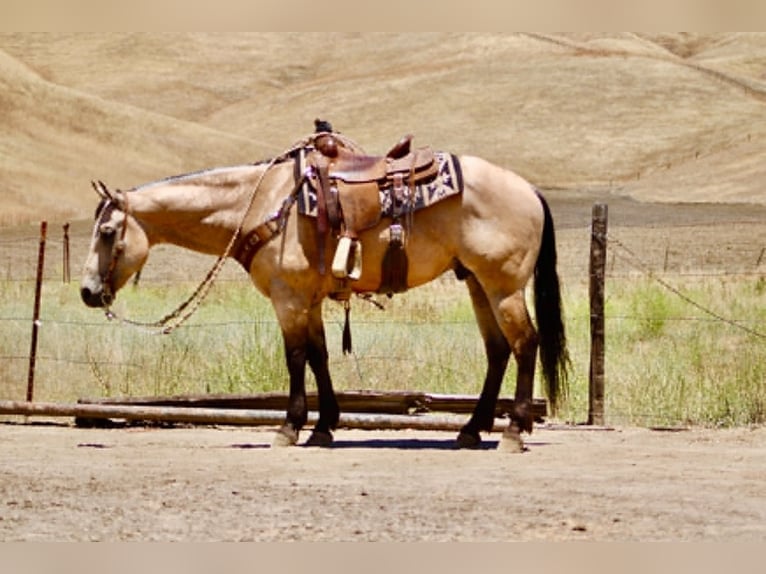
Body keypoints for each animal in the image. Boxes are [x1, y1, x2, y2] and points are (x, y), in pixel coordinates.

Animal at [80, 134, 569, 451]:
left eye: (106, 232)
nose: (87, 291)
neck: (261, 204)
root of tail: (528, 189)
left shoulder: (288, 298)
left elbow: (295, 358)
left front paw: (290, 427)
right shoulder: (308, 300)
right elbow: (320, 356)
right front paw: (324, 426)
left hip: (503, 286)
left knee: (525, 344)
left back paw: (513, 432)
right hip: (479, 284)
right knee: (497, 350)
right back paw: (470, 430)